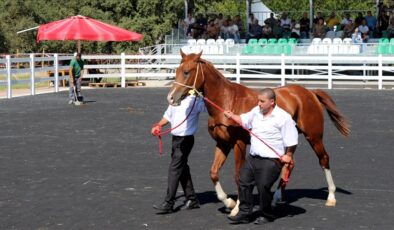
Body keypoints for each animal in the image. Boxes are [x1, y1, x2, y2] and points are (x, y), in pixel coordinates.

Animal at [168, 50, 350, 216]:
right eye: (176, 70)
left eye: (187, 72)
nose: (171, 98)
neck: (227, 101)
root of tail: (310, 93)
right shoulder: (222, 144)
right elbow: (213, 172)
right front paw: (228, 201)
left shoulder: (239, 144)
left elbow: (238, 175)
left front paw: (237, 207)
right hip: (289, 140)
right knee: (289, 163)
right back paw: (276, 199)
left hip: (314, 136)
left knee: (324, 159)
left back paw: (331, 196)